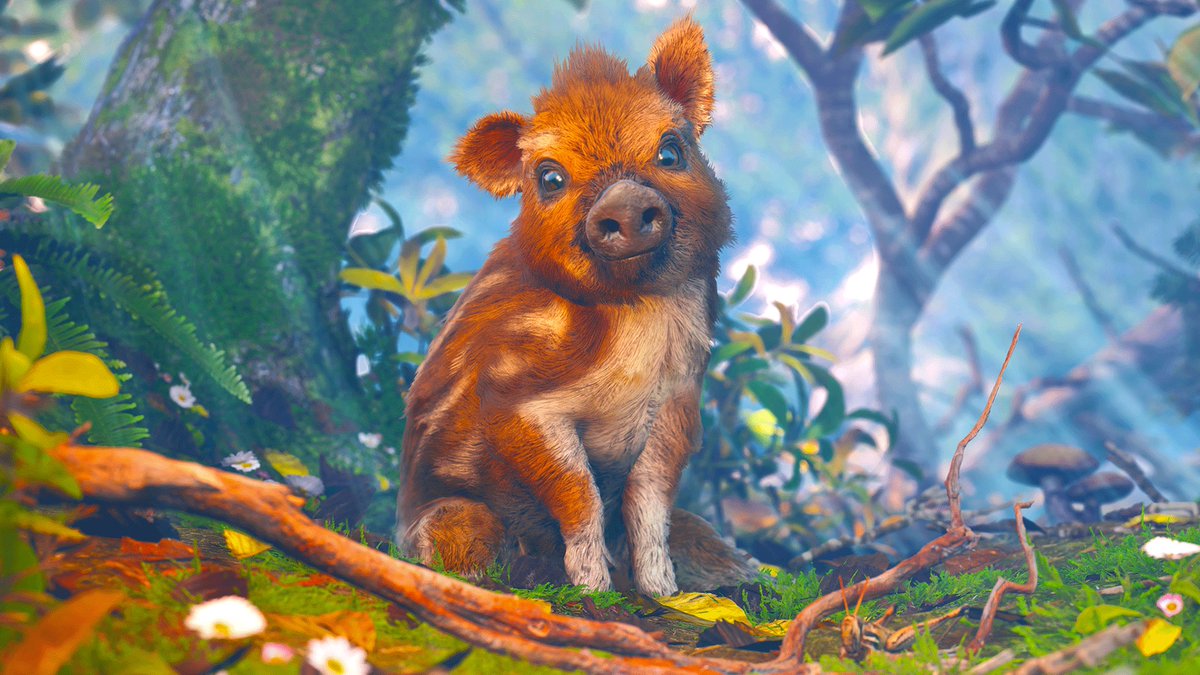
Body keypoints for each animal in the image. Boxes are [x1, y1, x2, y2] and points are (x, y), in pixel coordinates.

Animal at [397, 17, 757, 596]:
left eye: (671, 151)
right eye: (549, 178)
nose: (626, 204)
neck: (635, 313)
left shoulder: (678, 401)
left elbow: (651, 498)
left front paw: (663, 593)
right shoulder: (517, 403)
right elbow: (577, 489)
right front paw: (593, 589)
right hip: (451, 519)